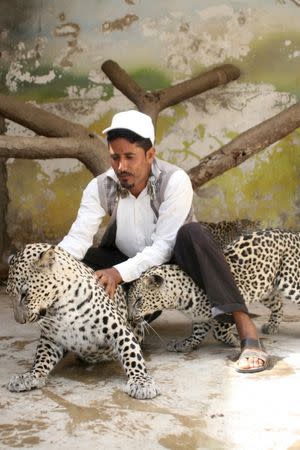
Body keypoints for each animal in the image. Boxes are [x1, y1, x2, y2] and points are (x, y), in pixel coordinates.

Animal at [5, 244, 159, 400]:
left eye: (25, 294)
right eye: (9, 294)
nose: (20, 321)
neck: (60, 304)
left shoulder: (119, 330)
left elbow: (132, 355)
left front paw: (141, 383)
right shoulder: (51, 338)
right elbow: (42, 358)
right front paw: (30, 376)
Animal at [127, 229, 300, 352]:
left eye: (139, 300)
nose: (130, 318)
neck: (180, 299)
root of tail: (293, 233)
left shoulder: (231, 302)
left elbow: (220, 330)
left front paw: (235, 340)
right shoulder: (199, 317)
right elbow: (198, 333)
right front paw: (184, 344)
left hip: (291, 281)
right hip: (264, 287)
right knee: (278, 304)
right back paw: (272, 325)